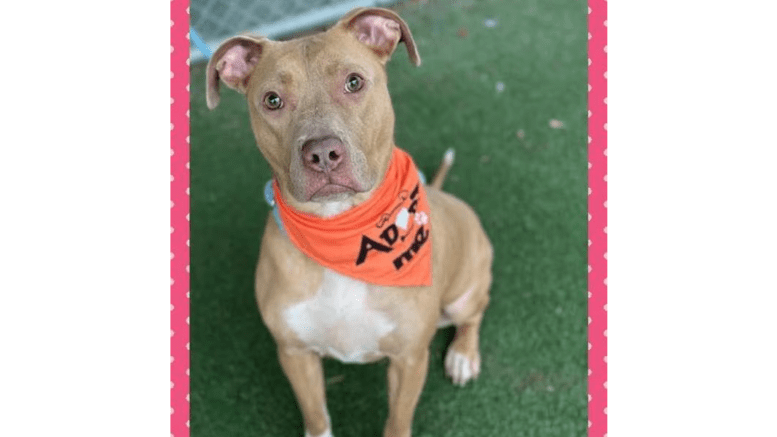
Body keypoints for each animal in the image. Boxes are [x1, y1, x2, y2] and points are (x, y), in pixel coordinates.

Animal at [205, 7, 492, 436]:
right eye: (272, 100)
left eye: (353, 82)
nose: (322, 152)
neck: (343, 229)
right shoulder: (295, 352)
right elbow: (317, 416)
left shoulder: (410, 359)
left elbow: (397, 421)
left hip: (463, 294)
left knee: (474, 312)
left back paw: (462, 354)